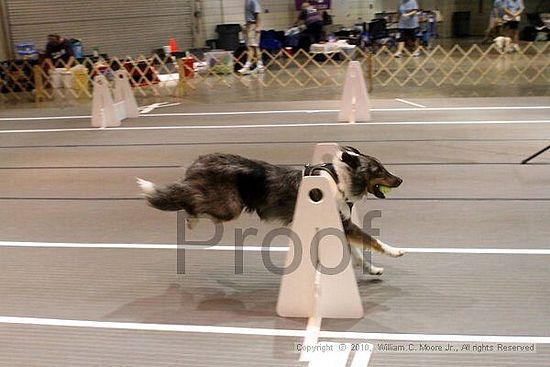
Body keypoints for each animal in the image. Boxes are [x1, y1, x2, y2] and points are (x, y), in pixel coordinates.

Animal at [138, 145, 406, 274]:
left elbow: (357, 253)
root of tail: (198, 162)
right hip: (229, 207)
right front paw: (395, 251)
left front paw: (372, 269)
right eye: (378, 170)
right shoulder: (345, 224)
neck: (339, 179)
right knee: (189, 200)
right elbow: (373, 240)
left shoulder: (338, 225)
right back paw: (189, 218)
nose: (400, 180)